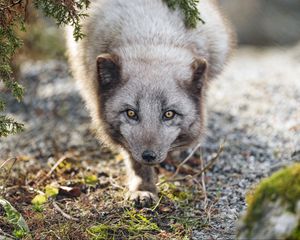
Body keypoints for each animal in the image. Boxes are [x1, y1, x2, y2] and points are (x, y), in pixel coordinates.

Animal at [67, 0, 233, 206]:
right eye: (131, 113)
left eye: (169, 114)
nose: (149, 155)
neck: (152, 37)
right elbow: (133, 160)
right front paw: (143, 189)